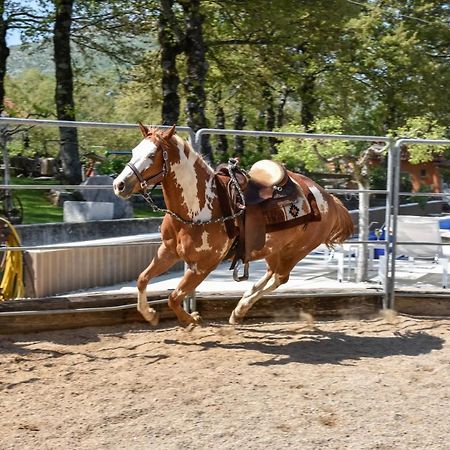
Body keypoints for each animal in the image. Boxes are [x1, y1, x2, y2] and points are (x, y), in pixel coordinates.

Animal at [113, 125, 356, 326]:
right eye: (134, 151)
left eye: (151, 155)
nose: (119, 185)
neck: (199, 209)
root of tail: (328, 198)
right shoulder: (167, 251)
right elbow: (142, 279)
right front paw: (150, 315)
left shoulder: (203, 266)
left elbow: (173, 298)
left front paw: (192, 319)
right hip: (272, 249)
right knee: (270, 275)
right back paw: (242, 305)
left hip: (295, 251)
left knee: (279, 278)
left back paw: (241, 308)